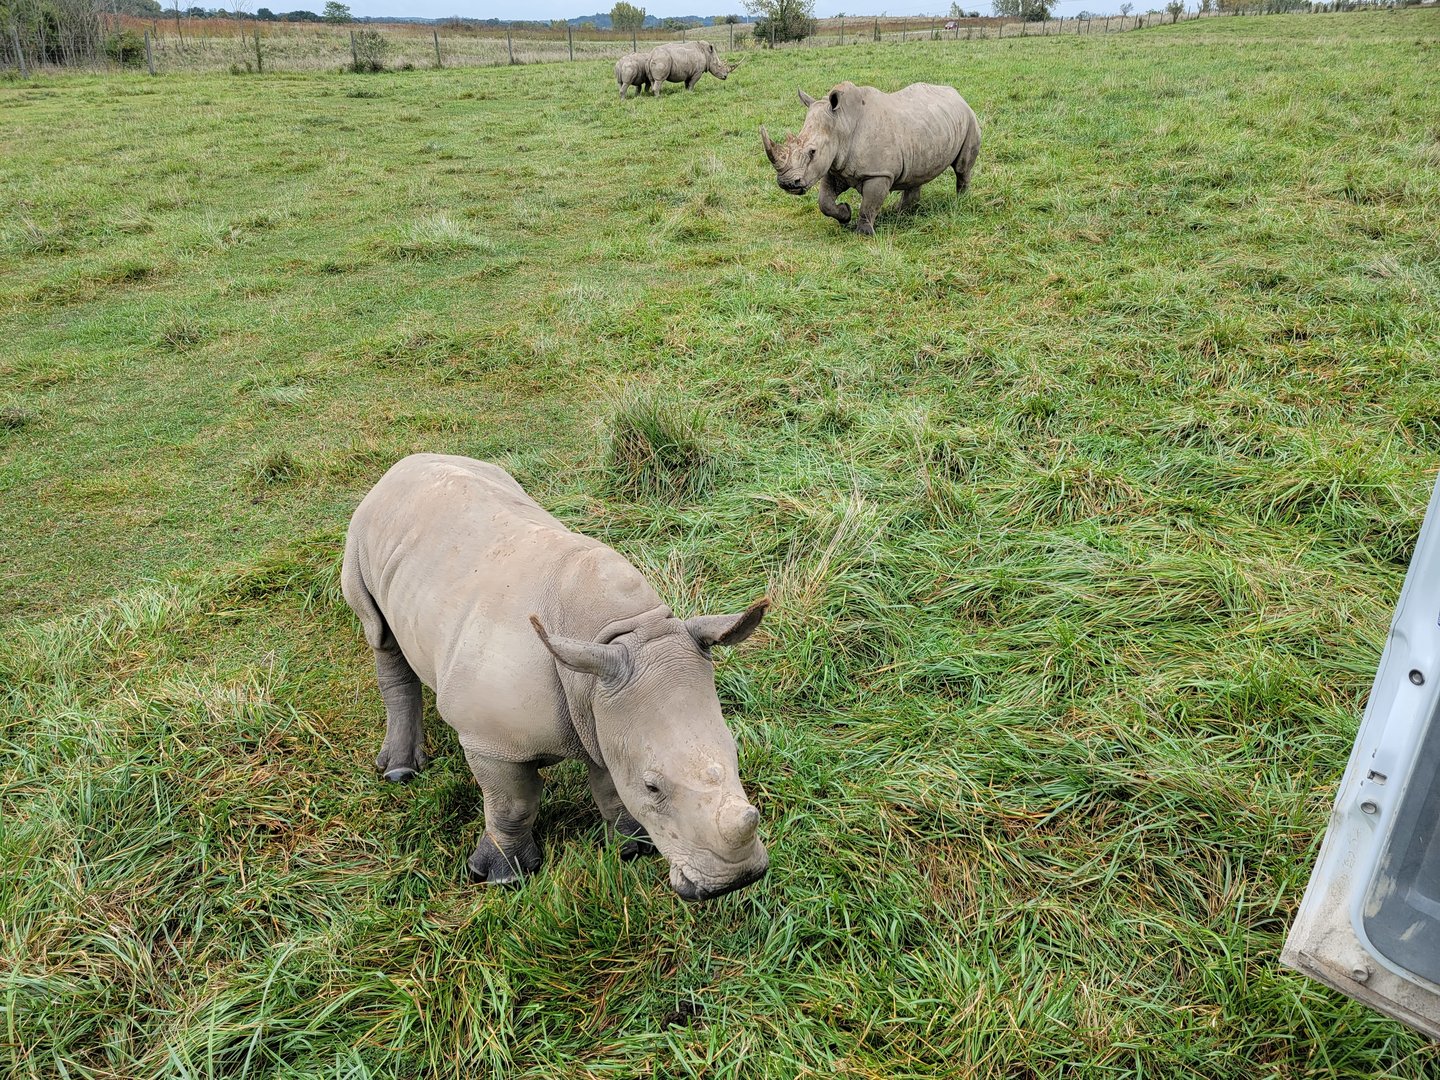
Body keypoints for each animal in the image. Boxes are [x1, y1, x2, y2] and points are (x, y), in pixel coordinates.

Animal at [341, 454, 771, 902]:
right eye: (653, 787)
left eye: (736, 752)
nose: (737, 879)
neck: (621, 631)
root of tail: (401, 466)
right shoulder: (491, 739)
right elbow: (512, 804)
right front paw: (502, 876)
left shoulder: (602, 700)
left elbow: (611, 786)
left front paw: (632, 847)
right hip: (360, 534)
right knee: (378, 631)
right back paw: (399, 772)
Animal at [761, 82, 981, 237]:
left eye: (812, 152)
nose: (787, 183)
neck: (841, 124)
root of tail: (957, 94)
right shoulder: (834, 167)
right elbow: (825, 202)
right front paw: (845, 214)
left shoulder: (879, 174)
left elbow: (868, 205)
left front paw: (863, 234)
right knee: (915, 174)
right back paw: (899, 212)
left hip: (969, 119)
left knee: (962, 168)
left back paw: (960, 201)